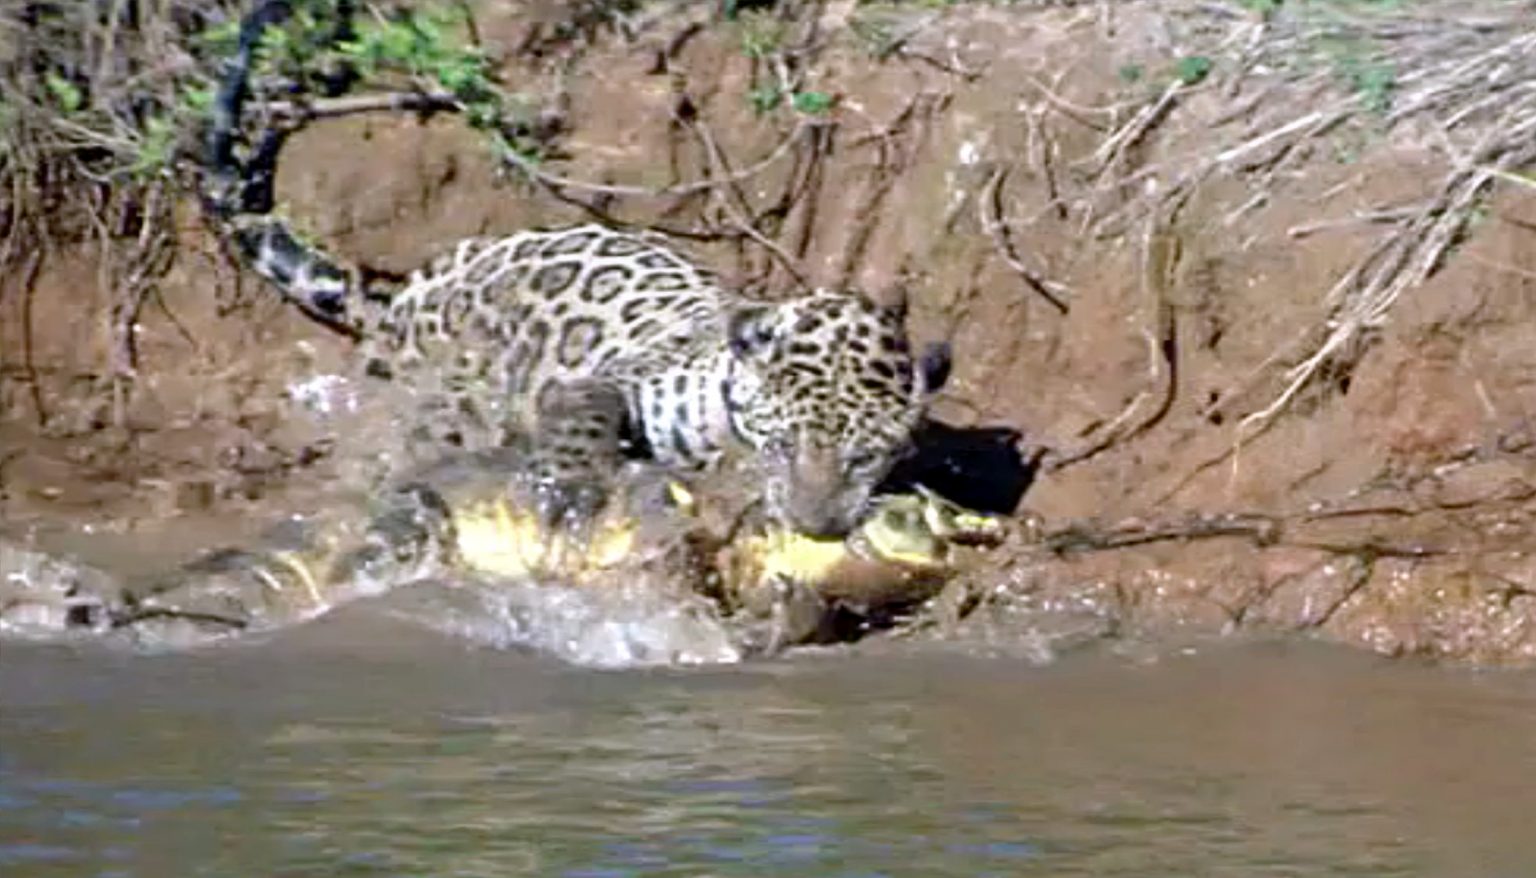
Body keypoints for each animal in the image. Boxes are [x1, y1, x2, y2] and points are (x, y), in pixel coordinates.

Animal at [202, 0, 951, 538]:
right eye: (788, 444)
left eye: (864, 456)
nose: (815, 527)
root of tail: (404, 301)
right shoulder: (610, 379)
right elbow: (584, 415)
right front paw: (567, 489)